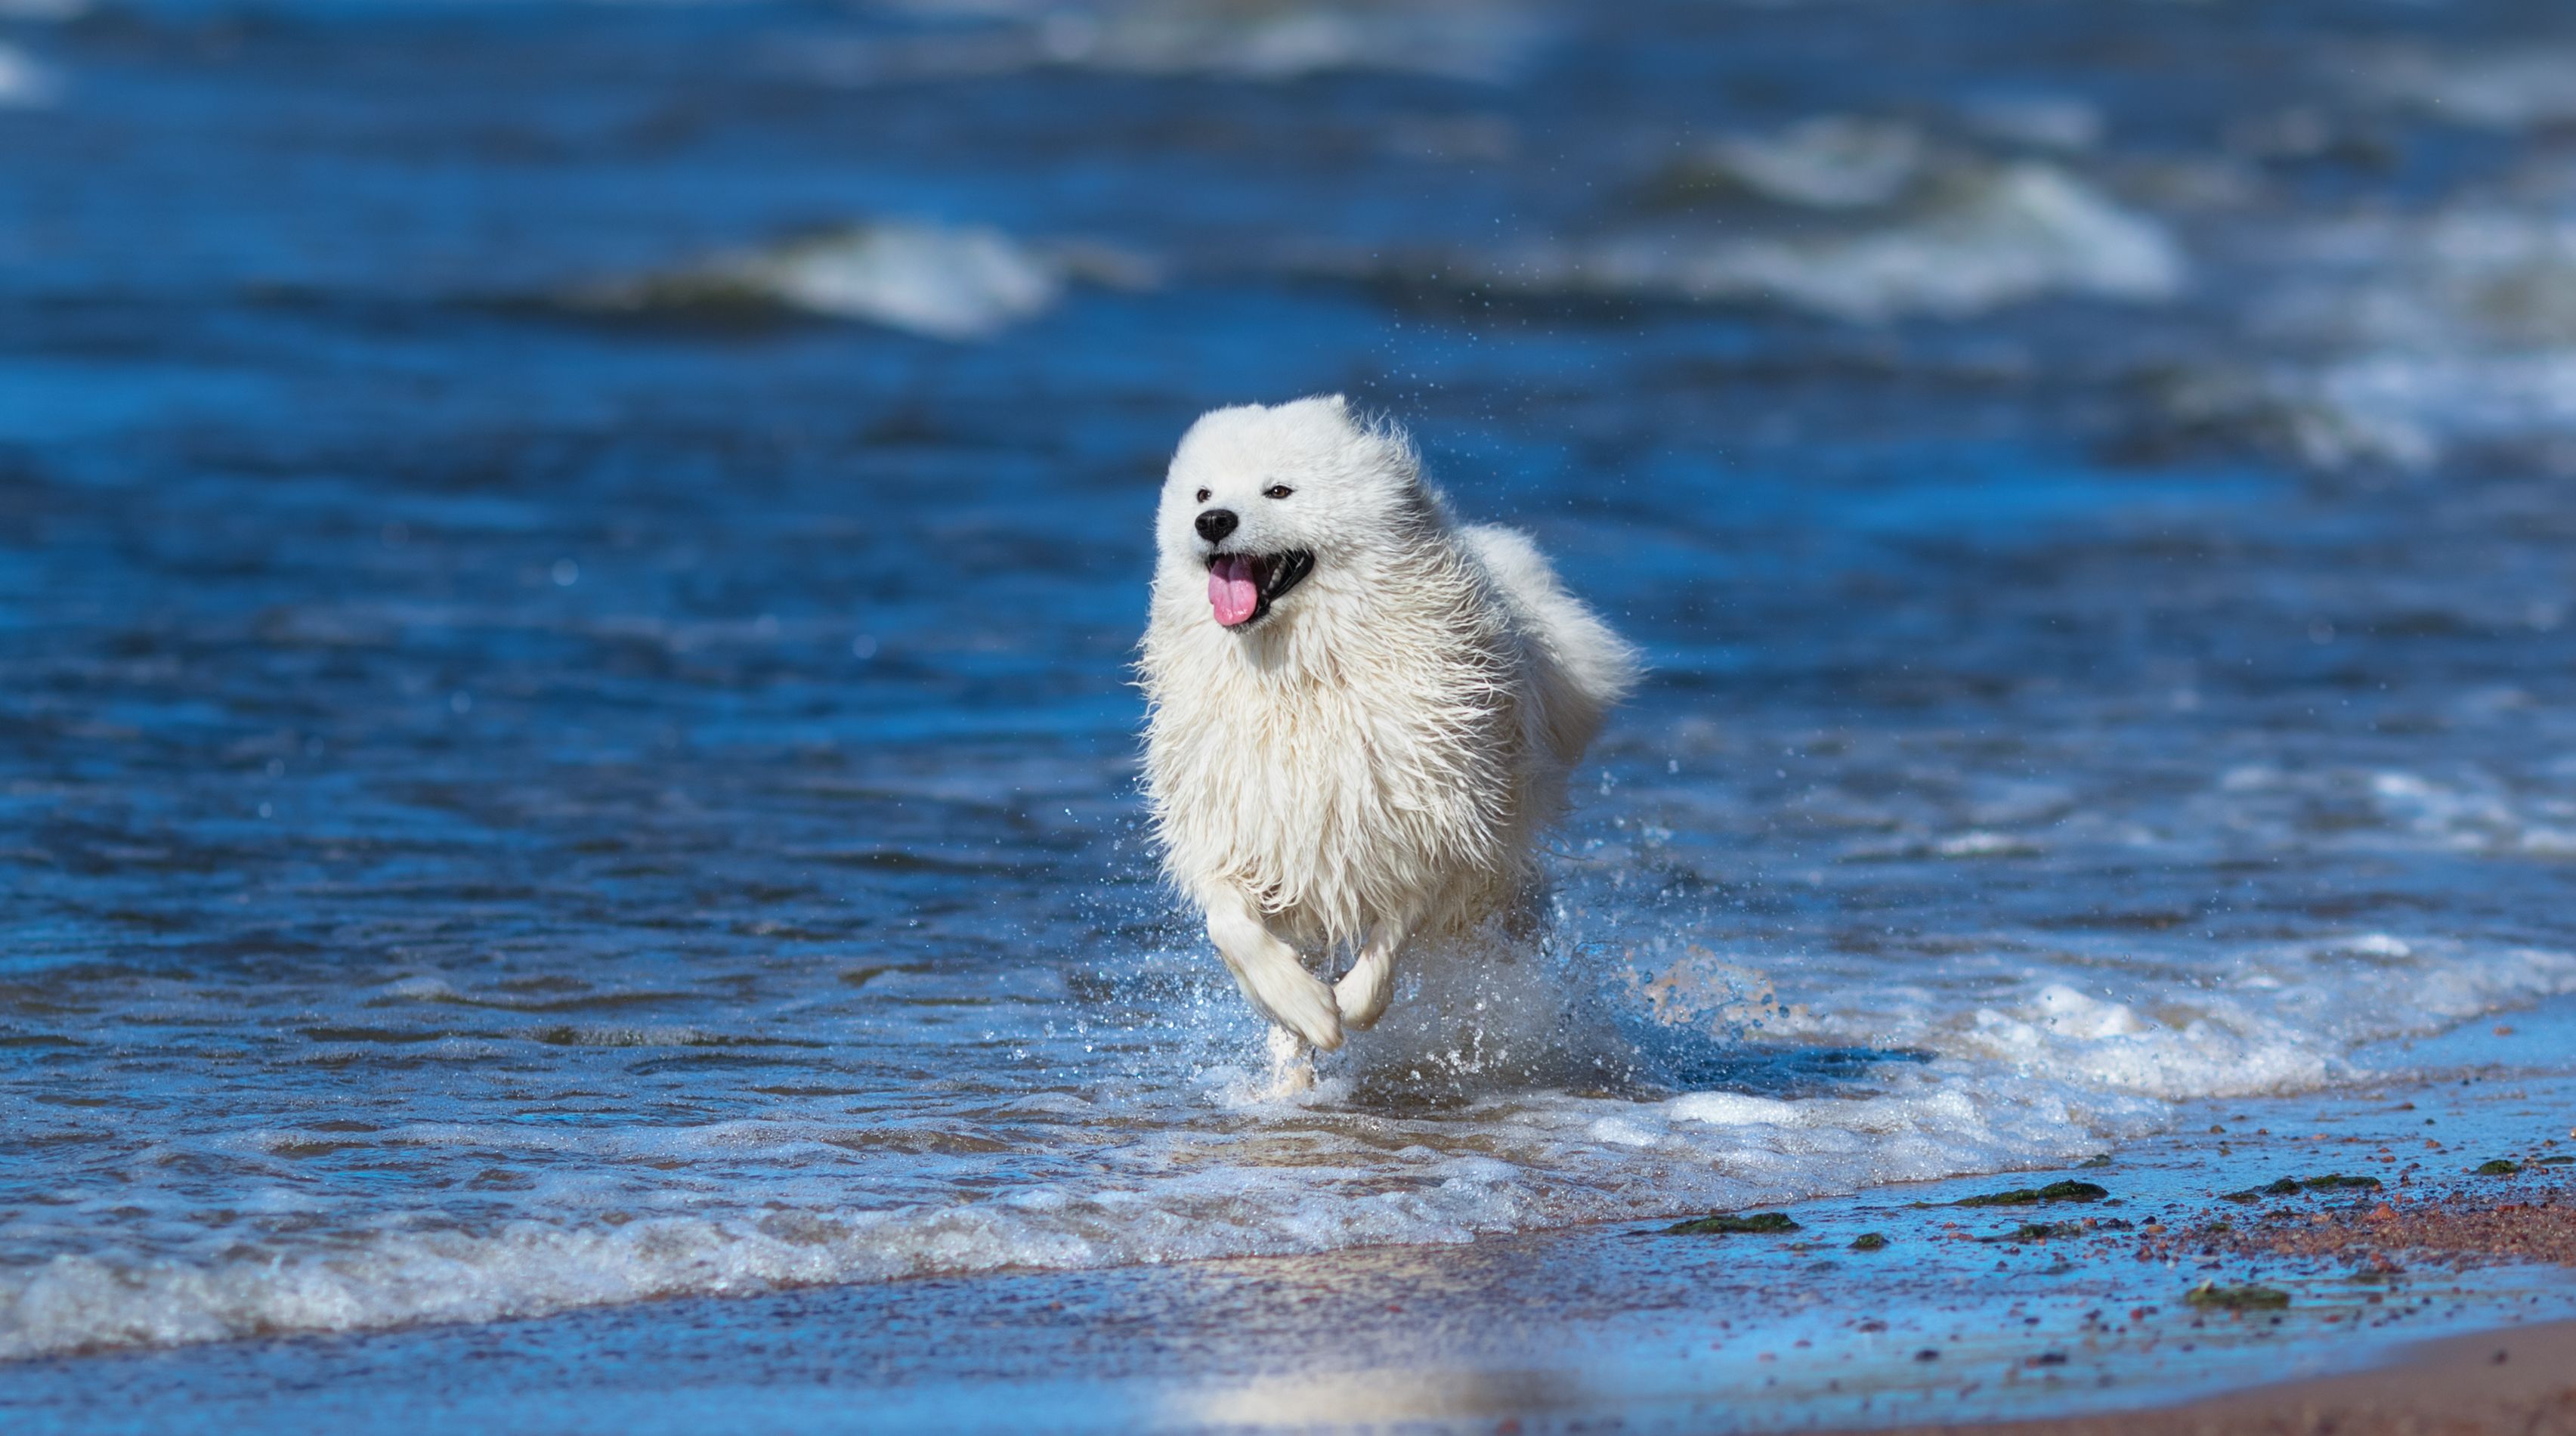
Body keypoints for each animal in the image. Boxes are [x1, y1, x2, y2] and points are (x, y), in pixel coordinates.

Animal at [1143, 391, 1638, 1088]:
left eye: (1279, 491)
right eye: (1202, 493)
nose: (1213, 521)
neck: (1301, 677)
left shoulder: (1430, 816)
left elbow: (1396, 925)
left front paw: (1348, 1004)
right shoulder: (1242, 824)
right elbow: (1231, 926)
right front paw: (1299, 1004)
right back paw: (1288, 1083)